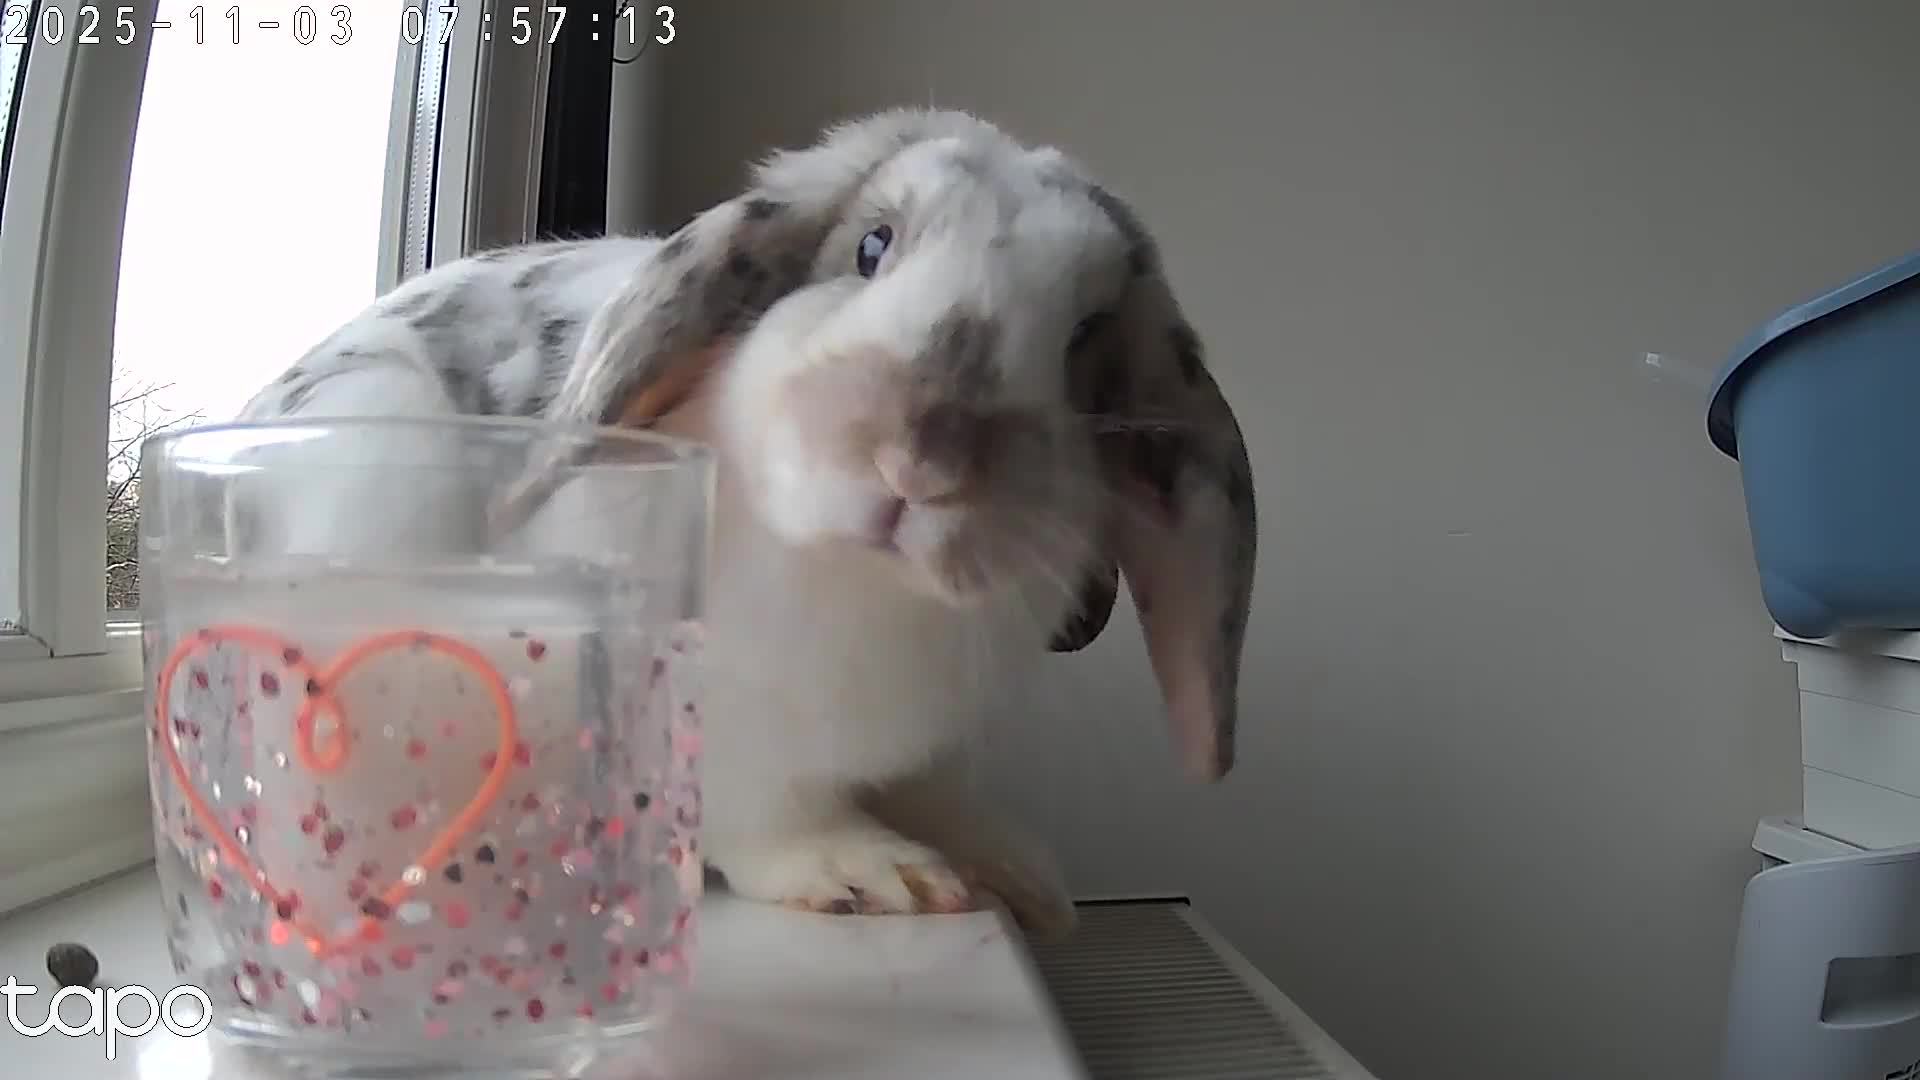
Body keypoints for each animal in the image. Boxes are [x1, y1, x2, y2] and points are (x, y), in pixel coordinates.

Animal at [228, 107, 1258, 937]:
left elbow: (936, 796)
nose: (922, 461)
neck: (857, 586)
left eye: (1086, 340)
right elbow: (766, 814)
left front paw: (1022, 879)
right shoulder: (715, 737)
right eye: (872, 247)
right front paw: (879, 873)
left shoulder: (921, 749)